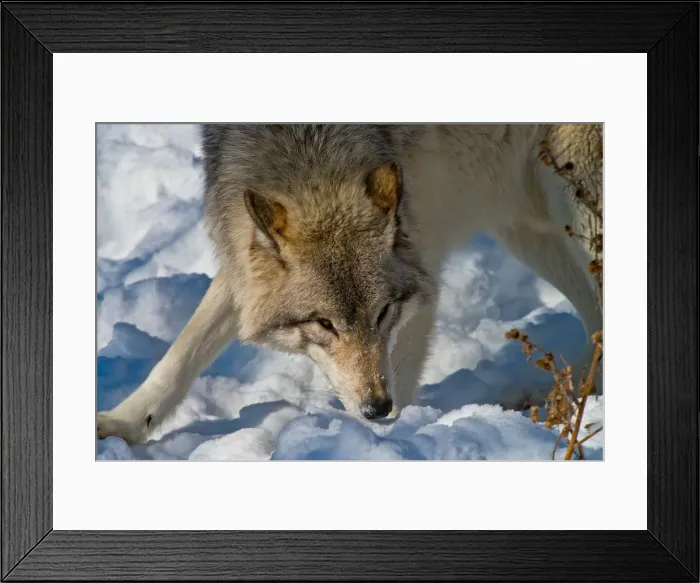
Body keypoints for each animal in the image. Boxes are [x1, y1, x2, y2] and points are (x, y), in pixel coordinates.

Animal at [97, 124, 603, 444]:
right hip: (530, 229)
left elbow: (403, 372)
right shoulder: (242, 259)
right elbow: (182, 352)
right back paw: (563, 401)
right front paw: (123, 424)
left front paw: (387, 439)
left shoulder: (421, 267)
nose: (376, 408)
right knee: (597, 319)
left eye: (382, 313)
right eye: (324, 323)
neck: (311, 152)